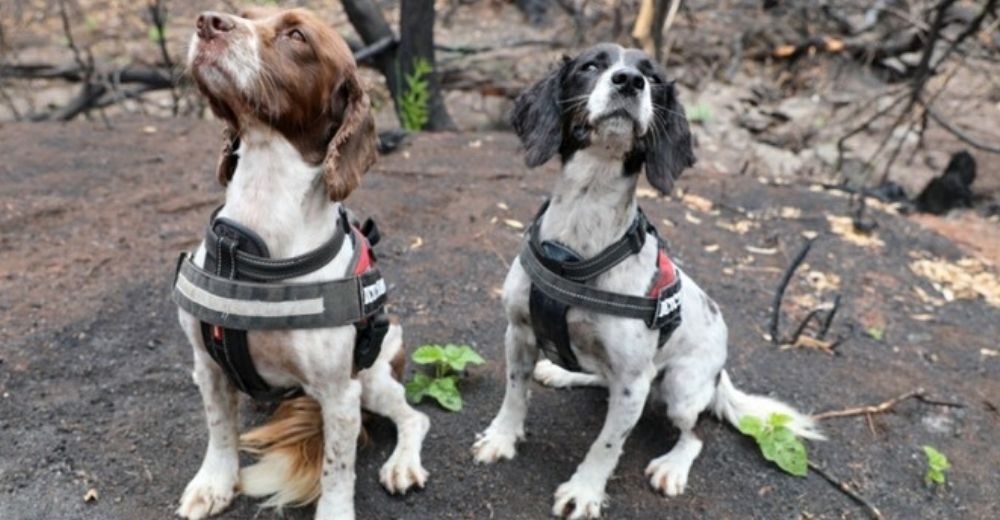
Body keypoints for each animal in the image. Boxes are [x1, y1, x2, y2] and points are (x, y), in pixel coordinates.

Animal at [179, 9, 426, 520]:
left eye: (296, 36)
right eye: (247, 15)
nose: (208, 21)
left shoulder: (340, 392)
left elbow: (337, 468)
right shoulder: (206, 365)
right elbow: (220, 429)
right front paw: (214, 483)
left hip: (375, 377)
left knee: (415, 417)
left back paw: (403, 464)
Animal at [472, 44, 824, 520]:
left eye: (653, 78)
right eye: (591, 65)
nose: (629, 81)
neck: (580, 237)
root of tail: (720, 372)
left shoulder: (633, 381)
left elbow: (607, 443)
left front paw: (584, 490)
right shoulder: (519, 332)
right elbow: (514, 394)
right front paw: (502, 438)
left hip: (679, 389)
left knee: (695, 435)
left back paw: (672, 466)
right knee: (600, 380)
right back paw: (563, 374)